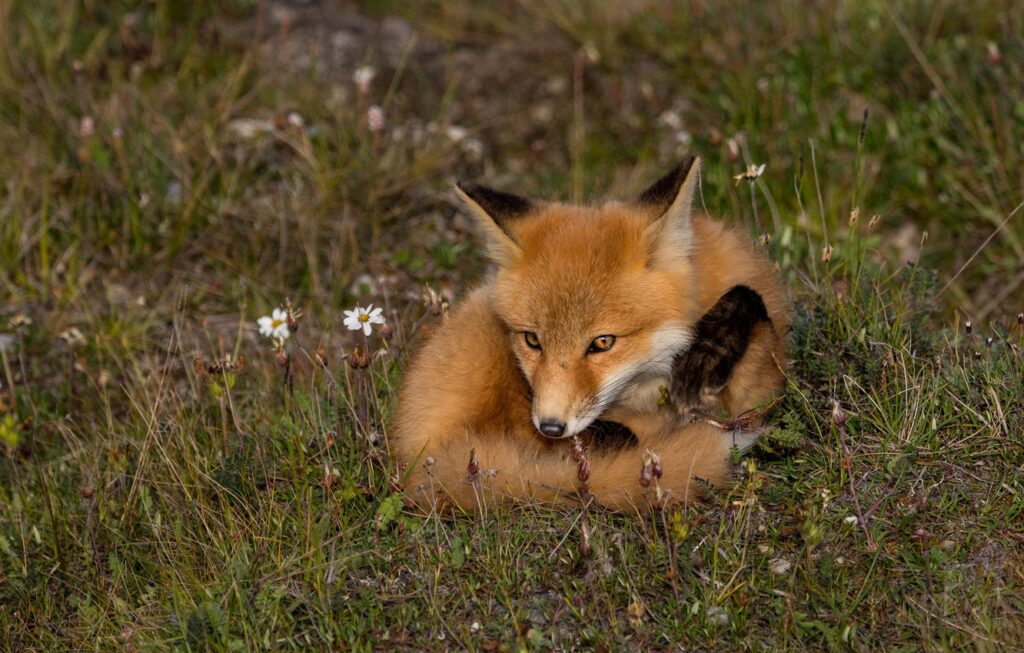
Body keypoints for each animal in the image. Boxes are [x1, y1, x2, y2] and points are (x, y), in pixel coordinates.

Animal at [387, 157, 786, 511]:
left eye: (602, 342)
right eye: (532, 340)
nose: (550, 427)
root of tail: (416, 465)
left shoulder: (756, 394)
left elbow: (748, 304)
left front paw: (707, 354)